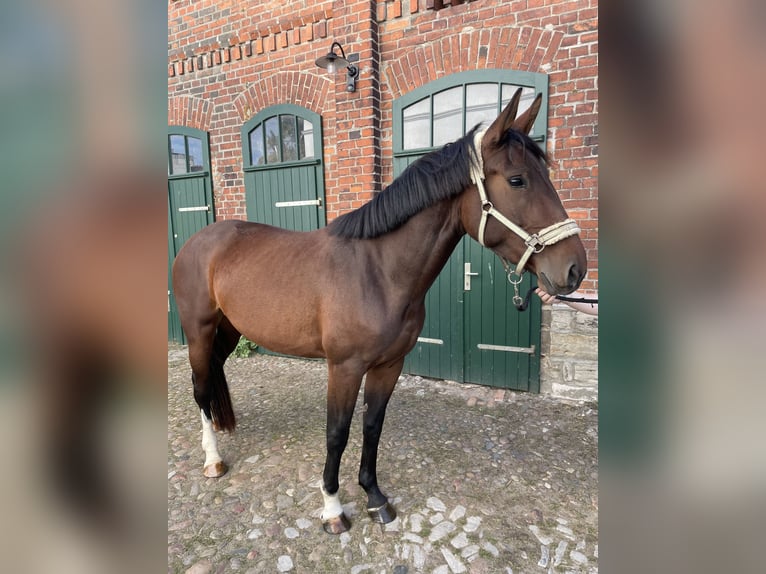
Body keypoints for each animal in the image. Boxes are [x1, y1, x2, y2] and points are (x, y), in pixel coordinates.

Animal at [171, 90, 584, 536]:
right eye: (517, 180)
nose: (575, 269)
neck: (379, 271)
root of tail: (198, 240)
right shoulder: (344, 367)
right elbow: (337, 433)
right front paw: (332, 508)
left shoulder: (389, 365)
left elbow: (372, 426)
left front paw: (374, 497)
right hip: (198, 331)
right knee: (199, 388)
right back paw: (213, 459)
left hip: (229, 331)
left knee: (213, 378)